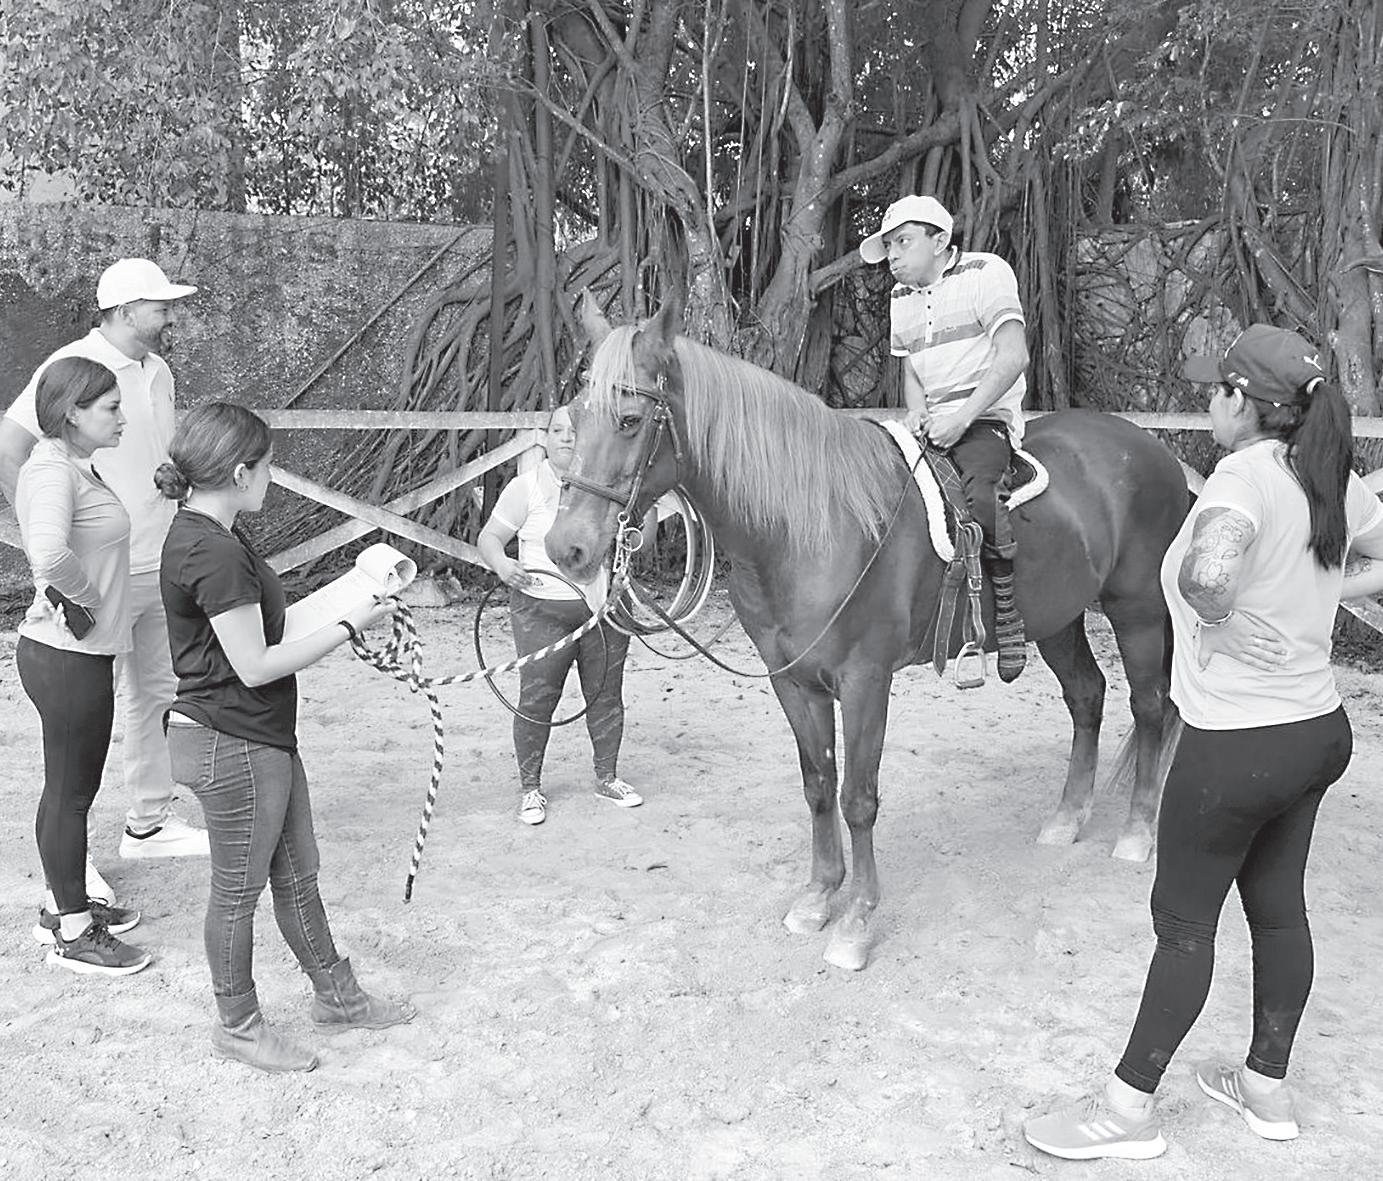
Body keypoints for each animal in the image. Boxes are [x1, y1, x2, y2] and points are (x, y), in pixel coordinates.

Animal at [547, 294, 1188, 970]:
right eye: (575, 418)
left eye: (630, 419)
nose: (567, 548)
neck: (810, 524)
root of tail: (1153, 452)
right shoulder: (793, 682)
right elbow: (818, 785)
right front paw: (817, 897)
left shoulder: (864, 680)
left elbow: (859, 797)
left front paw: (856, 921)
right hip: (1058, 619)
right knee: (1087, 697)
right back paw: (1067, 819)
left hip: (1138, 610)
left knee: (1150, 706)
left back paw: (1137, 832)